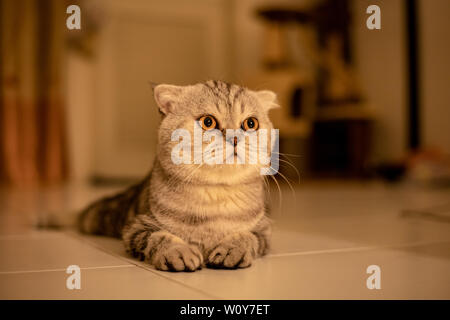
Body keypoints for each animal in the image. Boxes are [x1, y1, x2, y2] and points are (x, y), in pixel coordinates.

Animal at [77, 80, 278, 272]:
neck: (216, 195)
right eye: (208, 122)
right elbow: (160, 237)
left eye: (251, 124)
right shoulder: (136, 229)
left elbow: (248, 236)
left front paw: (232, 249)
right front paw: (179, 252)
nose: (235, 139)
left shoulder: (264, 230)